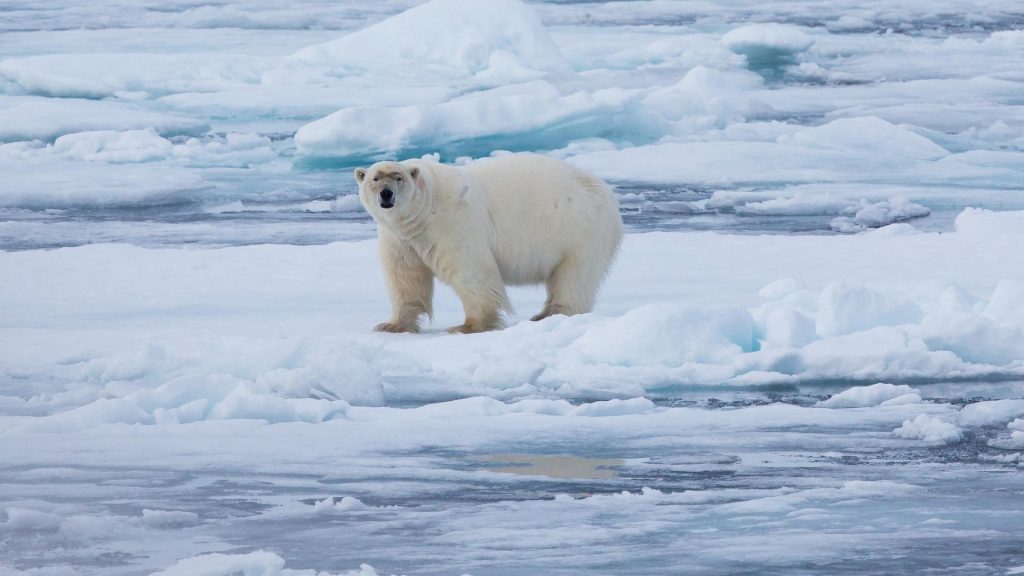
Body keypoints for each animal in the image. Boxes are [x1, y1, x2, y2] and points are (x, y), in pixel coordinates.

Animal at [354, 153, 623, 333]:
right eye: (375, 178)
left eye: (398, 177)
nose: (386, 194)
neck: (426, 208)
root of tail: (607, 192)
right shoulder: (399, 238)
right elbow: (405, 278)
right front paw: (391, 325)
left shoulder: (452, 223)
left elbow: (471, 271)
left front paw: (468, 326)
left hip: (580, 231)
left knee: (574, 276)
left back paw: (552, 313)